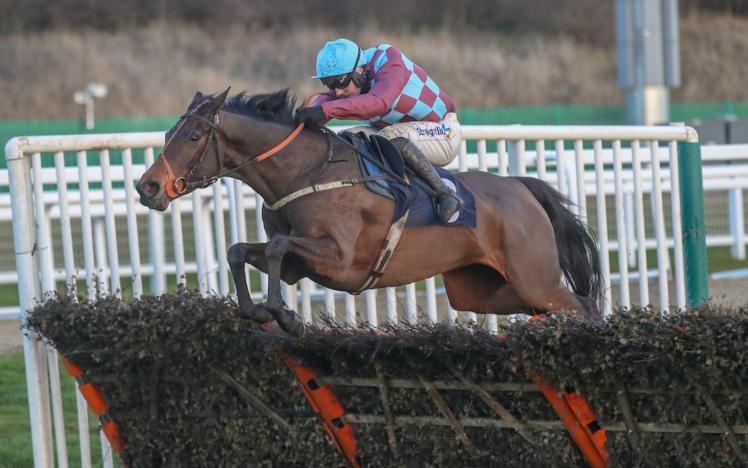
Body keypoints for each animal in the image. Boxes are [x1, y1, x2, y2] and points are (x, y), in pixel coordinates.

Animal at [136, 88, 600, 336]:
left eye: (194, 136)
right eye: (168, 132)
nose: (147, 187)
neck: (305, 171)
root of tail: (521, 188)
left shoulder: (342, 261)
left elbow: (278, 246)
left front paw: (286, 314)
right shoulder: (299, 266)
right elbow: (242, 251)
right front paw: (259, 310)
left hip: (534, 277)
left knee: (582, 304)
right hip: (485, 289)